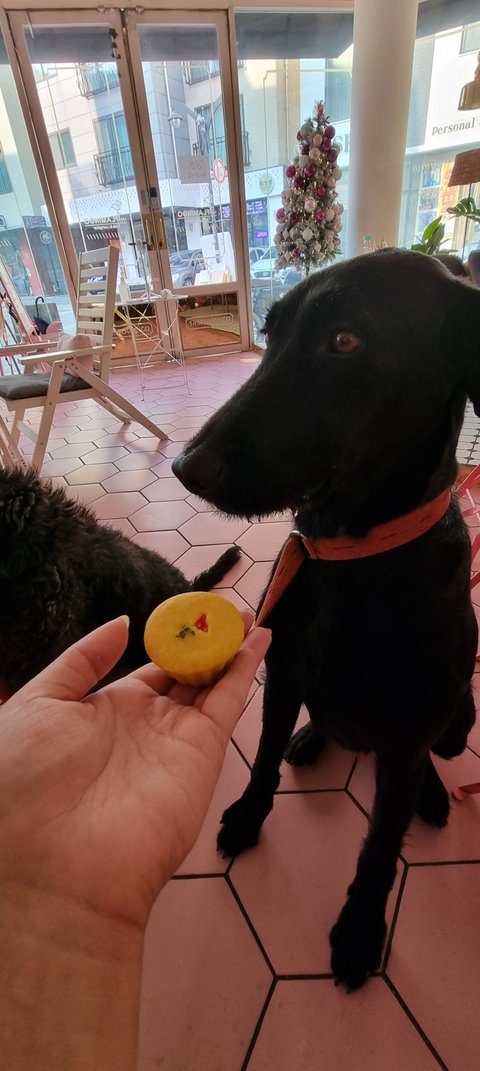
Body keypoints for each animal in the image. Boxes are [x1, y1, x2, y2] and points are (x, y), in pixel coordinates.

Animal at [172, 248, 480, 990]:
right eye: (270, 332)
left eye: (345, 340)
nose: (184, 467)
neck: (350, 560)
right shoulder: (281, 674)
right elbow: (259, 760)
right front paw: (249, 815)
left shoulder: (407, 737)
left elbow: (379, 849)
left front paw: (361, 929)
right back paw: (313, 738)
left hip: (459, 719)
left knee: (432, 760)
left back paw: (431, 795)